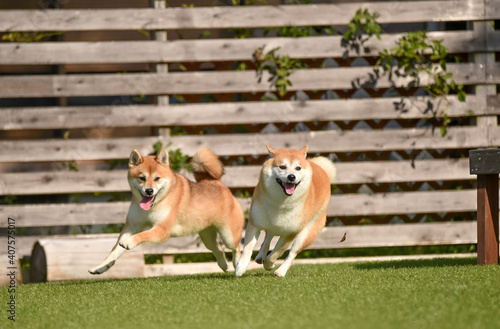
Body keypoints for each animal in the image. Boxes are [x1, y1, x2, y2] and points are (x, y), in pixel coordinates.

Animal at [91, 147, 246, 272]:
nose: (149, 191)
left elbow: (141, 235)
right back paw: (224, 265)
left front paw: (129, 242)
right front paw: (100, 267)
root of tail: (218, 183)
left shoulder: (161, 230)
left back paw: (238, 265)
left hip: (228, 235)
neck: (154, 205)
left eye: (157, 178)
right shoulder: (131, 226)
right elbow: (114, 251)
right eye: (142, 178)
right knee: (218, 249)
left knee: (236, 247)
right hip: (207, 236)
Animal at [234, 145, 336, 276]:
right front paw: (241, 266)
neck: (281, 203)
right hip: (270, 223)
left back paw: (280, 271)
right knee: (268, 237)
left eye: (298, 168)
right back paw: (261, 255)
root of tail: (321, 169)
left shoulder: (290, 233)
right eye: (282, 167)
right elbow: (248, 248)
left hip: (306, 234)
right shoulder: (254, 224)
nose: (291, 176)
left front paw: (269, 264)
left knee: (292, 254)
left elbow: (276, 253)